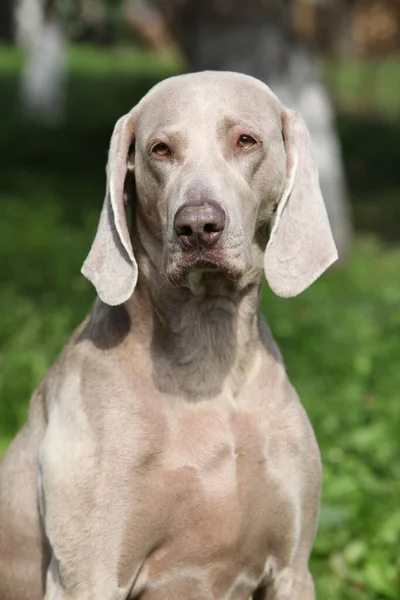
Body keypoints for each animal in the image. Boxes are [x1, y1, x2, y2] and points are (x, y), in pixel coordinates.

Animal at [0, 71, 338, 600]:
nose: (197, 226)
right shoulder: (87, 576)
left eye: (246, 140)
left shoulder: (292, 570)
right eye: (160, 149)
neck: (209, 356)